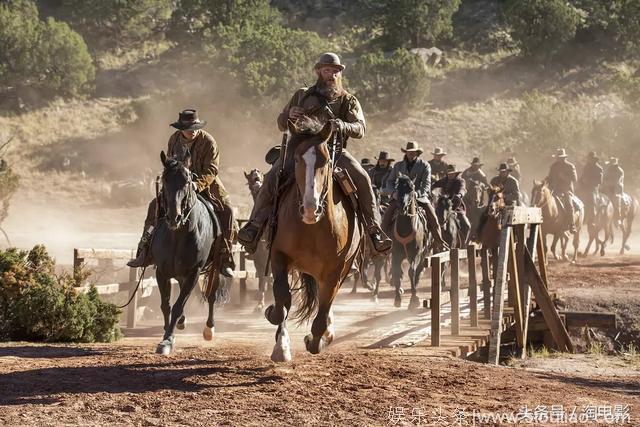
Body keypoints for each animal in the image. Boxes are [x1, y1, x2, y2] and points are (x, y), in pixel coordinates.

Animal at [152, 152, 222, 356]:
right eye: (165, 180)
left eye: (187, 180)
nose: (173, 217)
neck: (177, 236)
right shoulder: (161, 272)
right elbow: (166, 305)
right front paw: (167, 334)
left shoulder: (194, 272)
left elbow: (177, 305)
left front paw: (167, 340)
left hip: (216, 266)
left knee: (212, 295)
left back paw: (209, 328)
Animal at [264, 125, 360, 362]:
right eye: (297, 159)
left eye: (325, 161)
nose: (310, 208)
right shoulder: (279, 256)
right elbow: (282, 299)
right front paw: (280, 344)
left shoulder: (335, 270)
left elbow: (322, 314)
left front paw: (317, 339)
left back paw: (327, 332)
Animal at [390, 176, 430, 310]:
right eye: (397, 187)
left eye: (411, 188)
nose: (402, 206)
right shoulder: (396, 254)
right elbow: (397, 272)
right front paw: (397, 298)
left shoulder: (416, 254)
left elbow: (411, 272)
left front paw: (414, 300)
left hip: (423, 254)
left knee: (417, 271)